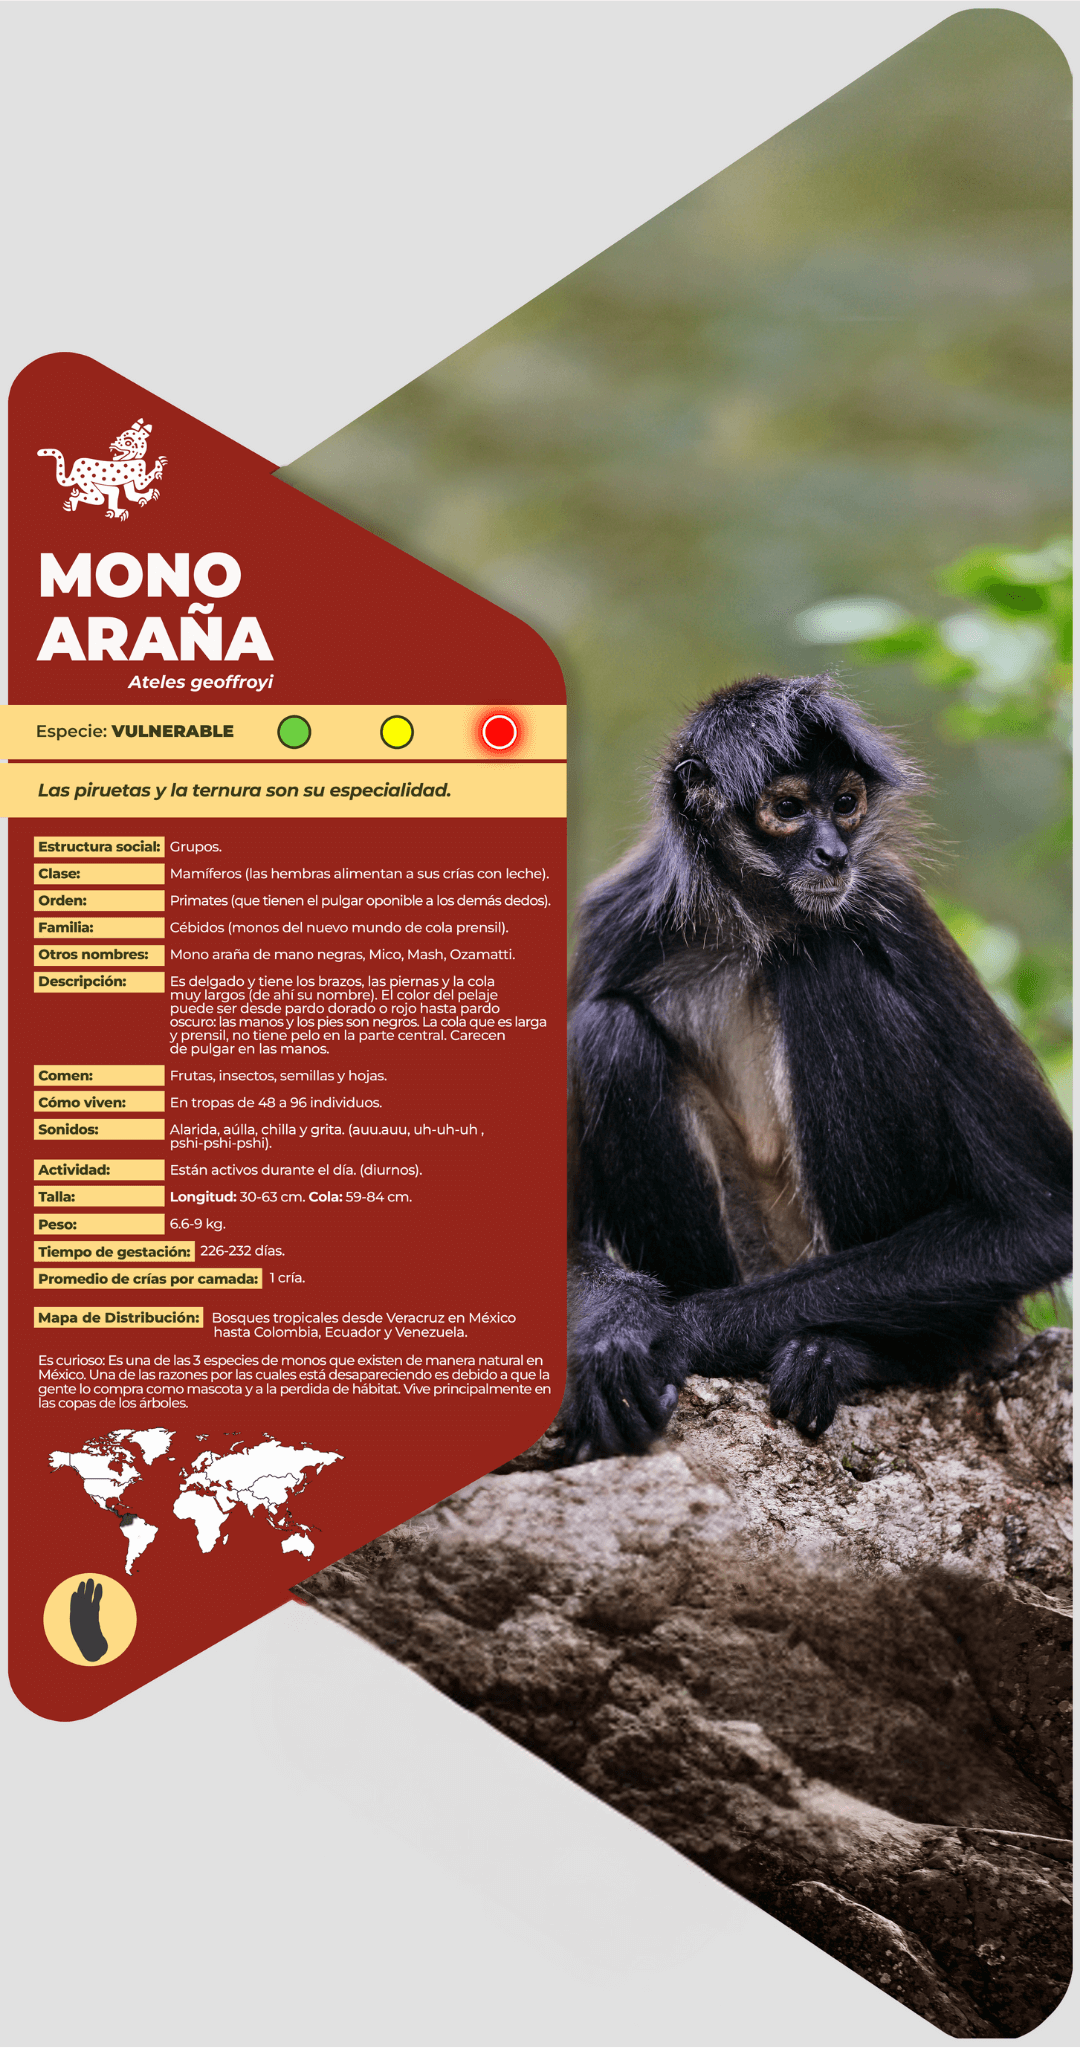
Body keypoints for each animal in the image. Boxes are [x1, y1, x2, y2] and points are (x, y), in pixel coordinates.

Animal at [560, 673, 1072, 1462]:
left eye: (847, 802)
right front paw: (615, 1328)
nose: (834, 853)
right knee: (606, 1030)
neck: (760, 926)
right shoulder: (618, 919)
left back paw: (860, 1353)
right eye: (790, 809)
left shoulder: (890, 902)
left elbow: (1041, 1218)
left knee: (825, 958)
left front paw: (670, 1332)